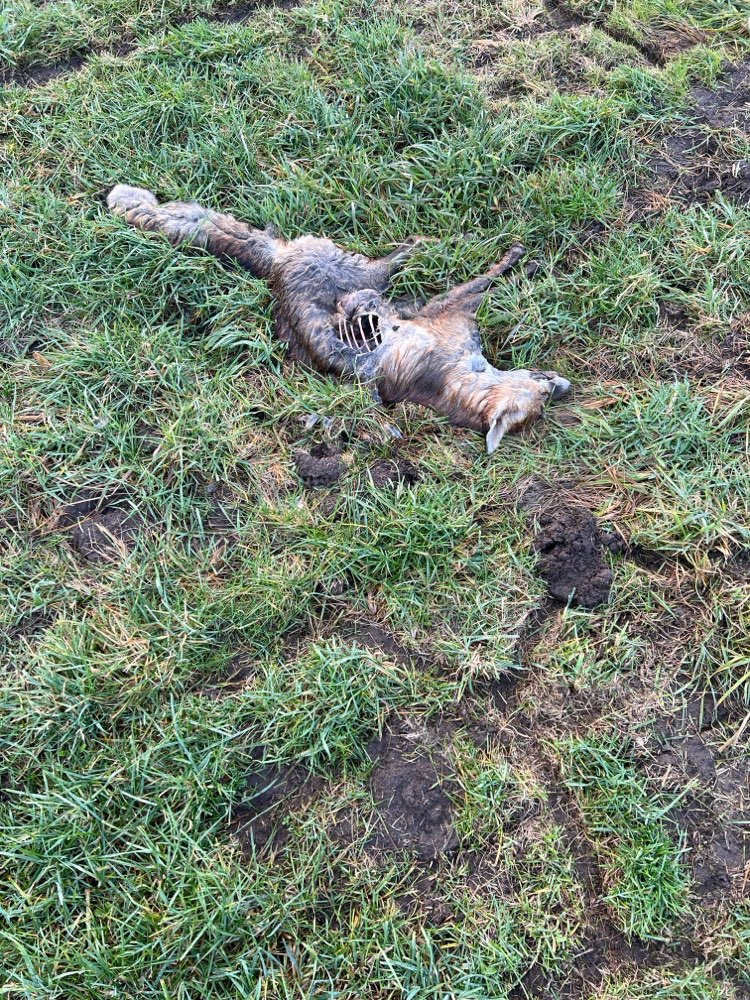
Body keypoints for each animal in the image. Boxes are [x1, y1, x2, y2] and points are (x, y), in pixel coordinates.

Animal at [107, 185, 570, 451]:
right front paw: (520, 260)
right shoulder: (445, 312)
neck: (452, 382)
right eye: (542, 395)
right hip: (364, 272)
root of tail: (275, 269)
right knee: (401, 253)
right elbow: (488, 280)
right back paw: (444, 241)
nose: (562, 386)